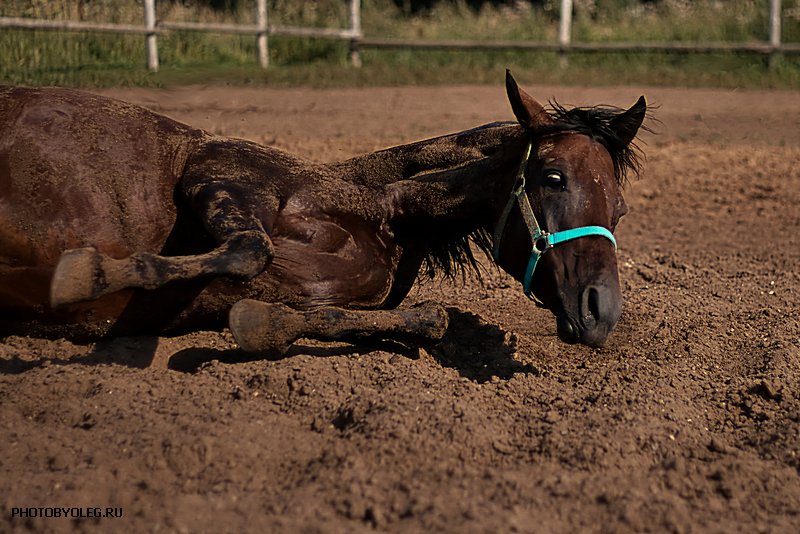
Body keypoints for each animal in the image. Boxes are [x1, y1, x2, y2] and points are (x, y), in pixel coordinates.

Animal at [0, 71, 648, 356]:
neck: (384, 215)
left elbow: (418, 319)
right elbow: (249, 250)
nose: (602, 313)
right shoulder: (214, 172)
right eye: (553, 178)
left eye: (619, 208)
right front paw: (87, 274)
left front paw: (260, 321)